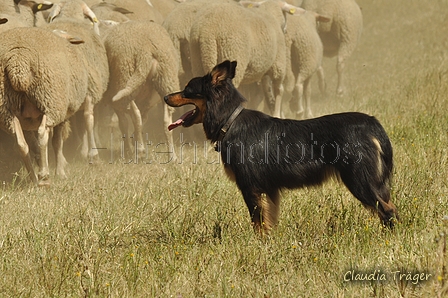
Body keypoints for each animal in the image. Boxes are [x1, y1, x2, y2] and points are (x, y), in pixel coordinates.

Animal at [164, 59, 400, 234]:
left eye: (187, 89)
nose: (165, 96)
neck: (230, 121)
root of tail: (372, 123)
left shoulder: (250, 188)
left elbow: (258, 224)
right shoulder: (269, 191)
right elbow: (269, 223)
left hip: (360, 180)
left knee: (388, 211)